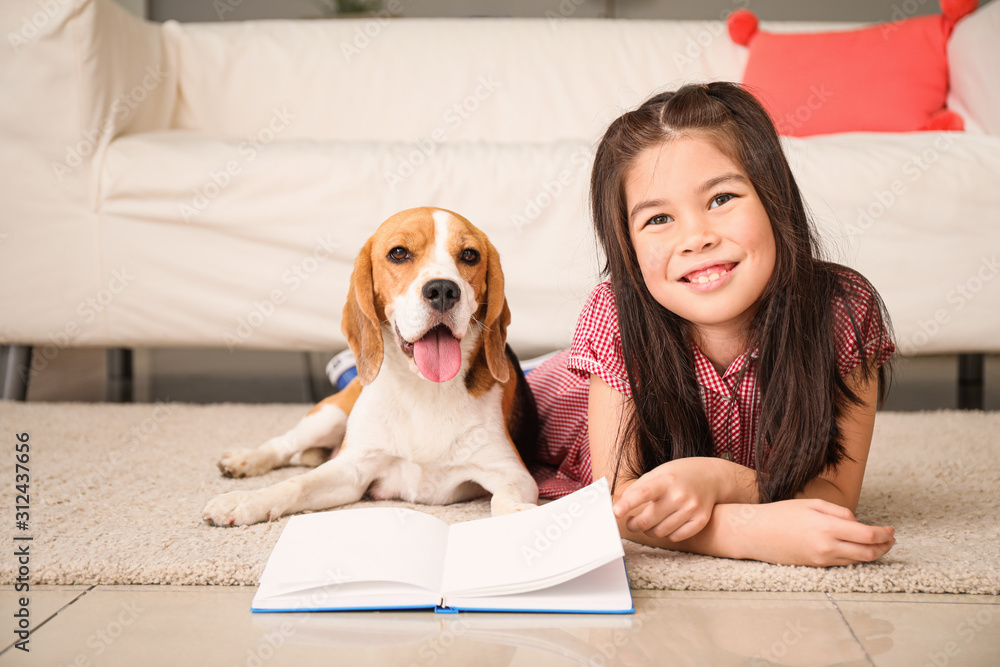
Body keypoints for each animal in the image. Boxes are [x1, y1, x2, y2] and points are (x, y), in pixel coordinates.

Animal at [202, 206, 540, 524]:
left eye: (470, 255)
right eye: (399, 253)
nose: (443, 290)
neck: (424, 389)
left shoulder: (512, 472)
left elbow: (503, 501)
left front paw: (521, 515)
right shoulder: (353, 469)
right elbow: (295, 484)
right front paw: (245, 501)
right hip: (329, 415)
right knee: (284, 445)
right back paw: (244, 460)